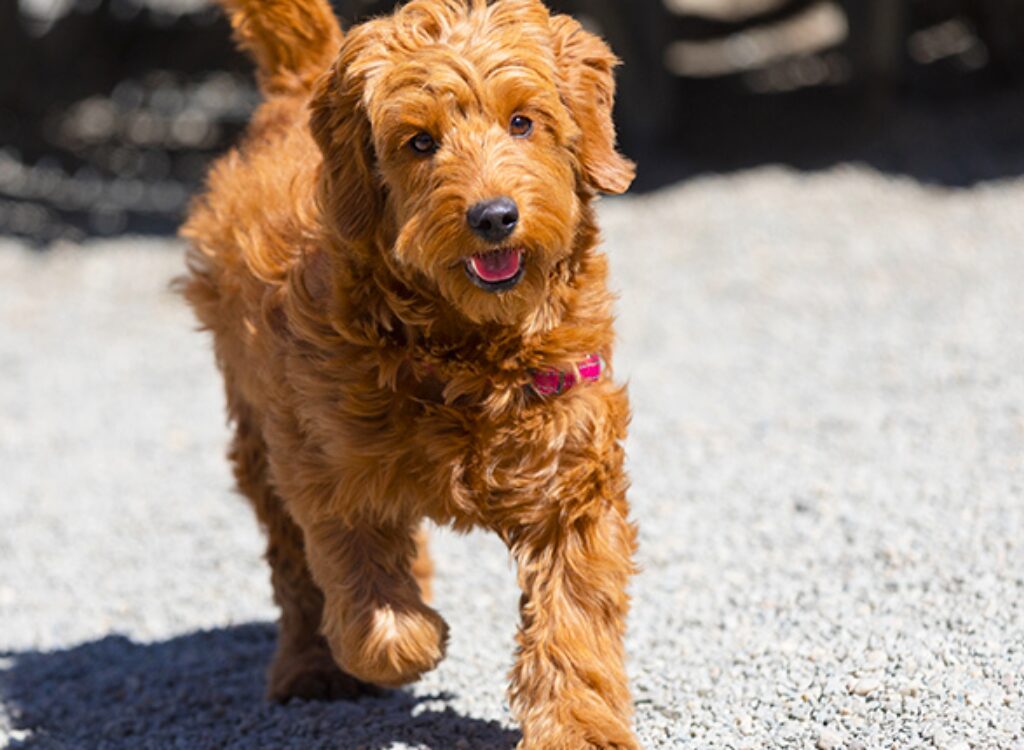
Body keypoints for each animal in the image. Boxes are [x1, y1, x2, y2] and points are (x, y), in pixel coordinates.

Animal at [179, 2, 634, 745]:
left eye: (522, 121)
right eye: (420, 143)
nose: (494, 216)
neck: (470, 348)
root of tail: (302, 80)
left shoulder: (572, 476)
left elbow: (573, 618)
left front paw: (578, 729)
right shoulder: (325, 462)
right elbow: (367, 601)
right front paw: (412, 639)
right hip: (257, 431)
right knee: (293, 568)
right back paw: (310, 668)